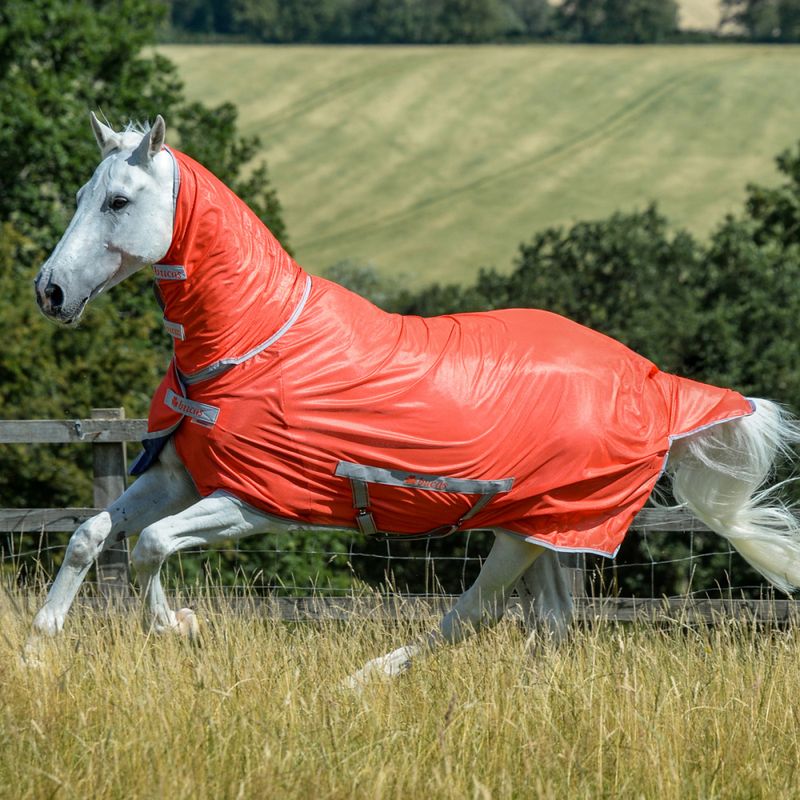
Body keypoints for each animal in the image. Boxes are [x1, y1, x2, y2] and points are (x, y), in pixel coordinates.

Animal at [29, 114, 800, 685]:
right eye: (79, 195)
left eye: (119, 201)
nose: (51, 291)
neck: (251, 342)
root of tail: (653, 382)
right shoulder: (178, 476)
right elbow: (93, 535)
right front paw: (42, 643)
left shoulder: (256, 500)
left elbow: (152, 544)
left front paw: (175, 628)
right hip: (548, 527)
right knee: (550, 624)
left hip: (526, 533)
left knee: (473, 615)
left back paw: (363, 679)